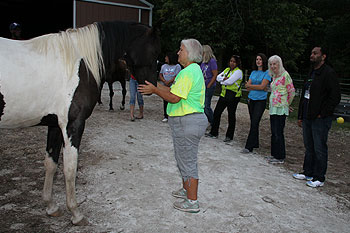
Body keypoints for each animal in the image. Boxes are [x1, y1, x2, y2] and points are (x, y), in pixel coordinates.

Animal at [0, 20, 161, 225]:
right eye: (155, 51)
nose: (152, 85)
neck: (80, 64)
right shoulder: (73, 125)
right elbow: (70, 168)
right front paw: (75, 213)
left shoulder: (55, 125)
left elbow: (51, 164)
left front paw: (51, 206)